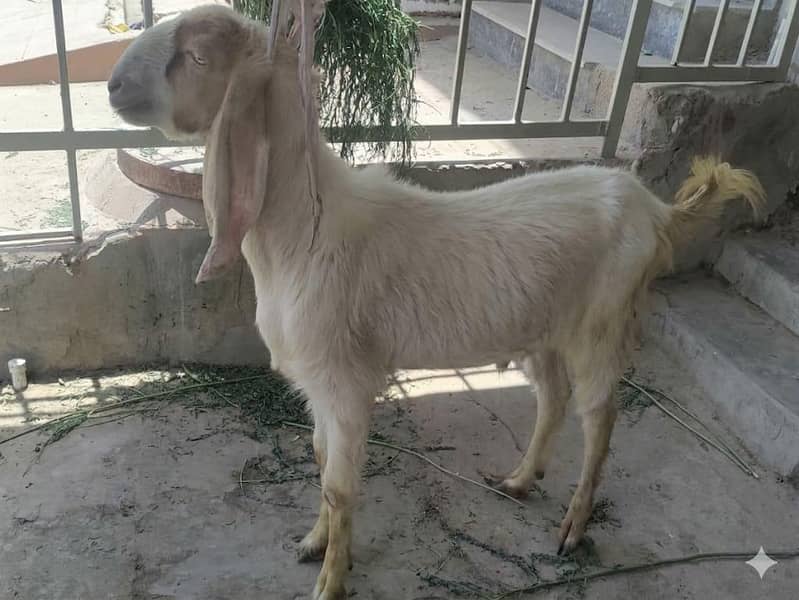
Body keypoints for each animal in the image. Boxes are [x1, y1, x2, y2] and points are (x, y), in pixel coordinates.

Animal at [108, 5, 765, 599]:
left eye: (197, 58)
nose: (113, 85)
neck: (302, 231)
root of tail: (654, 209)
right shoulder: (317, 382)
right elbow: (319, 461)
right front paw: (314, 543)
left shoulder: (346, 380)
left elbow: (340, 486)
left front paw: (331, 582)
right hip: (543, 328)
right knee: (553, 397)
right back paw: (520, 480)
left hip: (602, 324)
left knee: (600, 418)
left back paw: (572, 529)